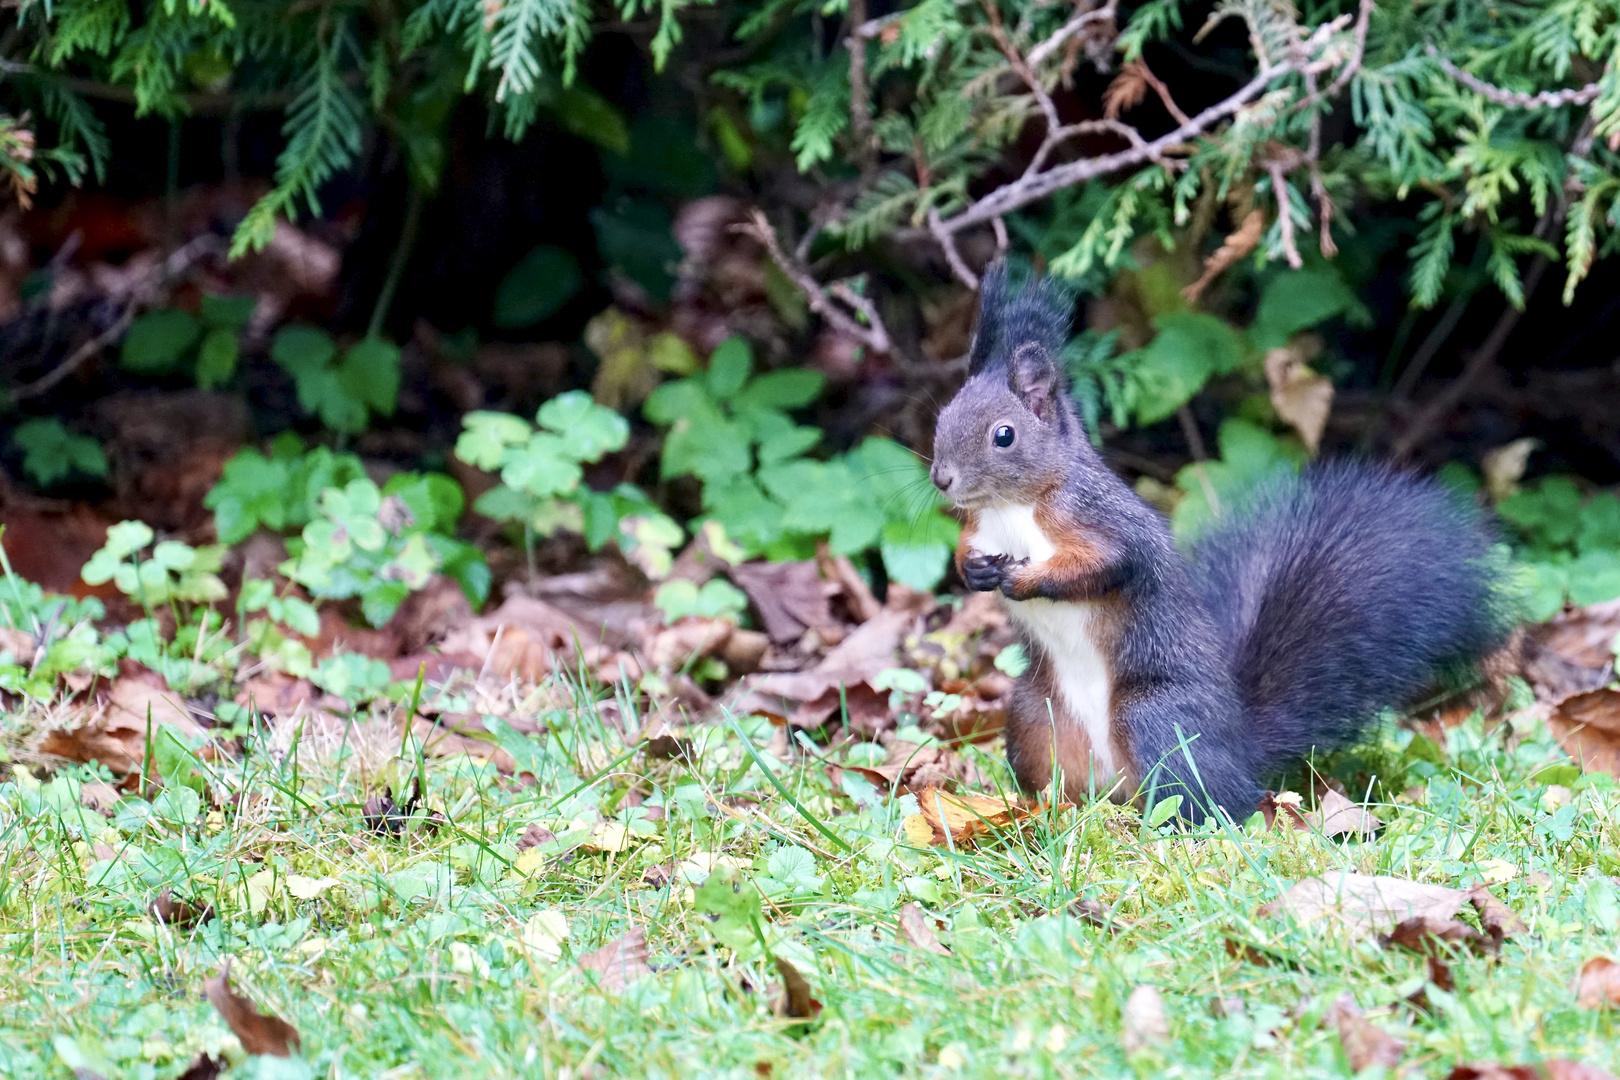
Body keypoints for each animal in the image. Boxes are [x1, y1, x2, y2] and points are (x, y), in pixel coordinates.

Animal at [933, 265, 1509, 822]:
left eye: (1003, 435)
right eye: (941, 417)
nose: (941, 478)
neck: (1010, 507)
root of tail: (1237, 751)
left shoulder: (1103, 519)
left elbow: (1107, 563)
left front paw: (1027, 579)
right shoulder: (982, 528)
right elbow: (966, 548)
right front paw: (974, 571)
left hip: (1156, 718)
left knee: (1210, 803)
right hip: (1034, 717)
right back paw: (1045, 810)